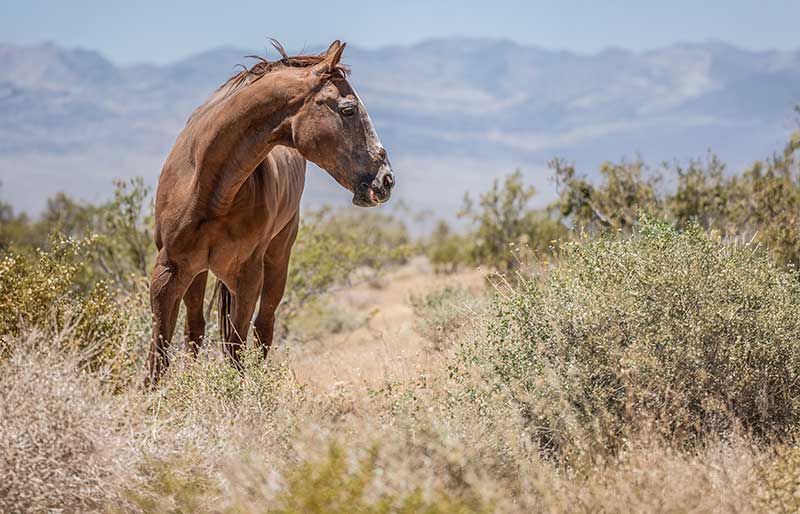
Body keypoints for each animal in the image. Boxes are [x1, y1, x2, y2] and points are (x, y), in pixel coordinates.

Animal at [148, 40, 396, 382]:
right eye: (348, 109)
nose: (386, 180)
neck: (209, 188)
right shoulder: (170, 270)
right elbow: (159, 352)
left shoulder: (247, 275)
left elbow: (235, 347)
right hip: (197, 273)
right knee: (195, 329)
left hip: (277, 259)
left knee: (263, 327)